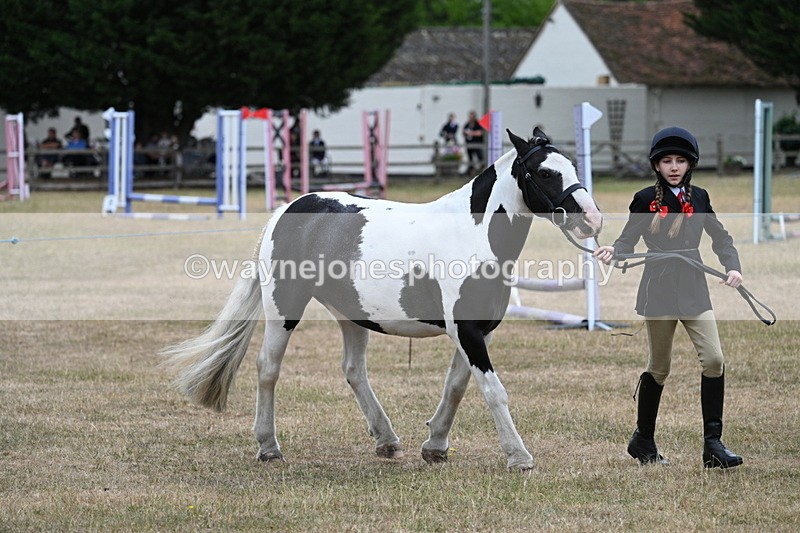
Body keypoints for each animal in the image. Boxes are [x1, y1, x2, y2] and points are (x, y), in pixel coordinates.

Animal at [162, 127, 603, 470]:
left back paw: (386, 439)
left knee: (354, 371)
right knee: (268, 368)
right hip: (284, 308)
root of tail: (288, 209)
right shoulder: (465, 330)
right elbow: (493, 390)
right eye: (544, 172)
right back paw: (269, 447)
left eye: (573, 168)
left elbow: (457, 386)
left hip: (352, 314)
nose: (592, 219)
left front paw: (435, 446)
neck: (473, 233)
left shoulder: (480, 330)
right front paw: (518, 456)